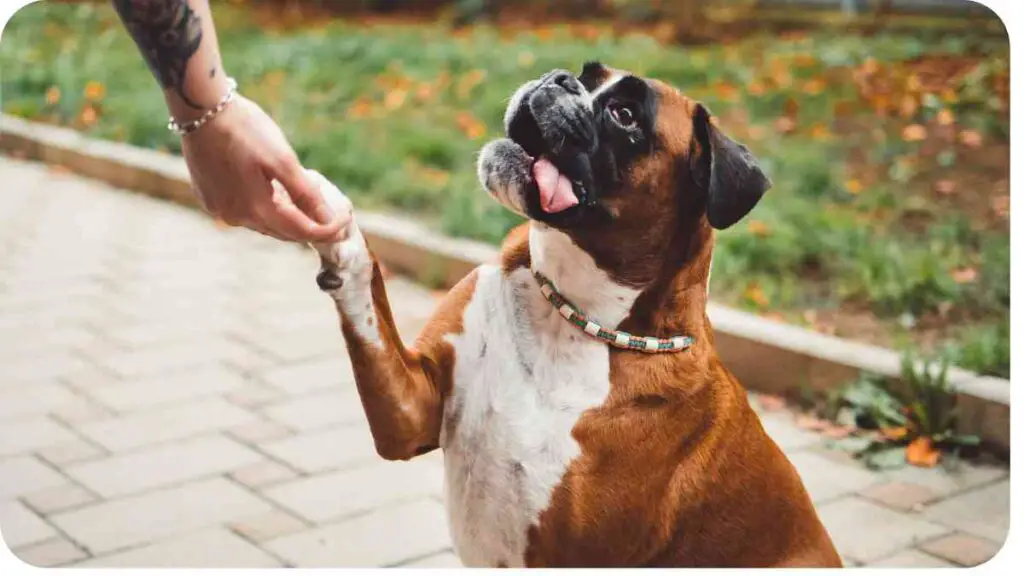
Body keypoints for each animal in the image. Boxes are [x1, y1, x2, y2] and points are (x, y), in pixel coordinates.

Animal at [309, 62, 839, 565]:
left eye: (624, 115)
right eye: (586, 76)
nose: (558, 78)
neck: (569, 314)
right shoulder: (411, 410)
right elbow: (368, 307)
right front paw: (328, 219)